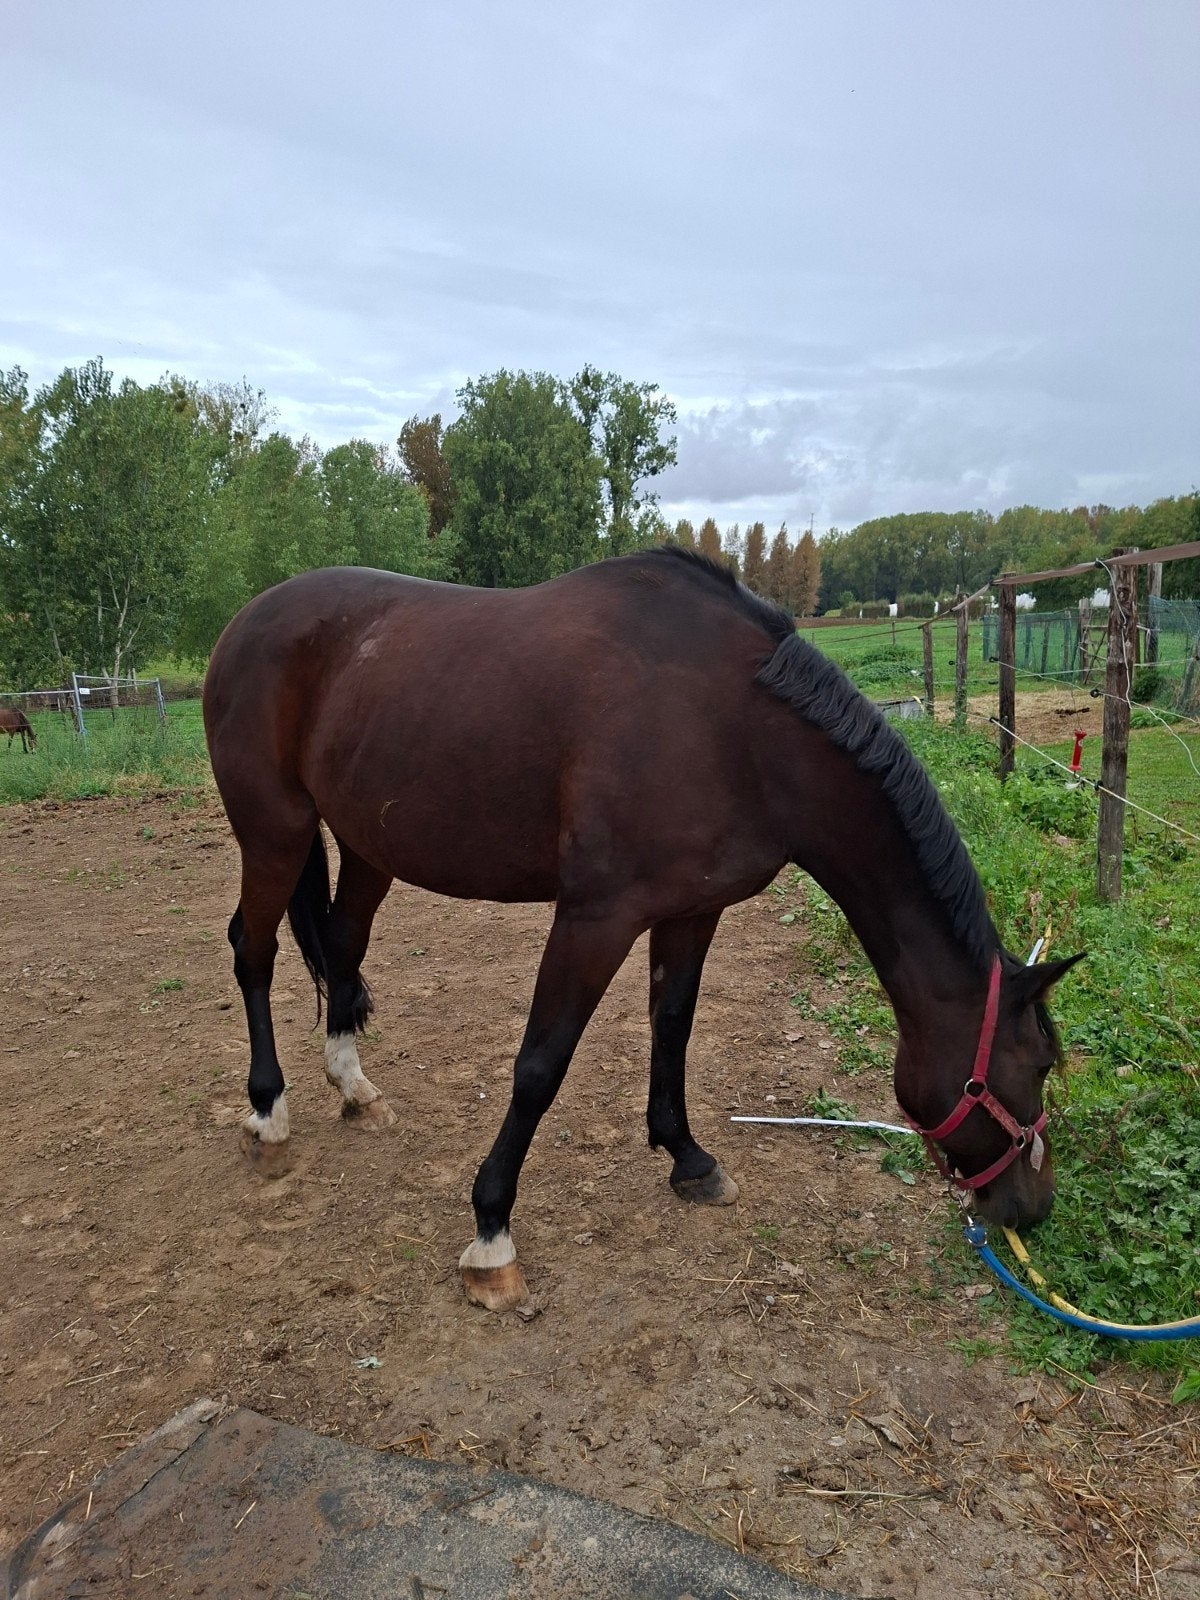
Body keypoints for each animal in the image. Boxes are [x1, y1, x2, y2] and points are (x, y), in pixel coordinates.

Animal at [204, 549, 1081, 1313]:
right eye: (1035, 1066)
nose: (1032, 1206)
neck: (736, 727)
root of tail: (244, 622)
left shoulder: (691, 910)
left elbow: (672, 1025)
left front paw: (687, 1158)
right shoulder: (596, 916)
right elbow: (540, 1065)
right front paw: (492, 1234)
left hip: (367, 847)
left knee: (342, 948)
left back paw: (353, 1086)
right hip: (276, 832)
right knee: (254, 951)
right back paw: (267, 1113)